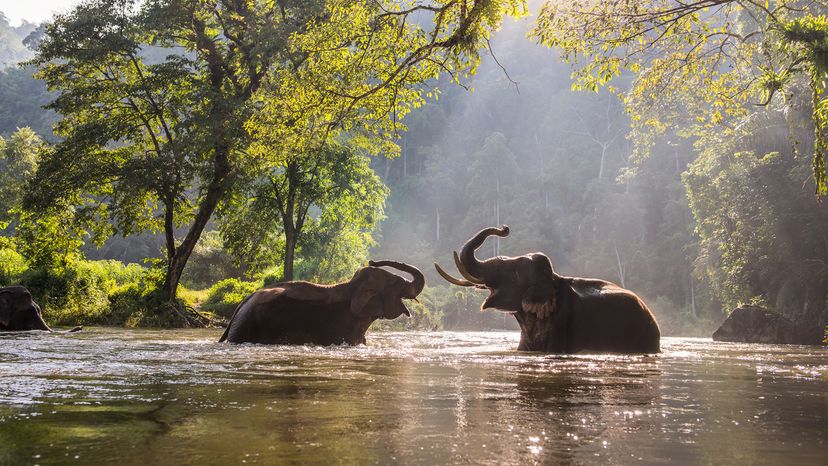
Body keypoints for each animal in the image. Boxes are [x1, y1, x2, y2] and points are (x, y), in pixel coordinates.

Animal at [217, 260, 424, 344]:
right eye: (396, 283)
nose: (372, 260)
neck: (351, 285)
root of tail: (243, 302)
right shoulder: (341, 326)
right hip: (246, 326)